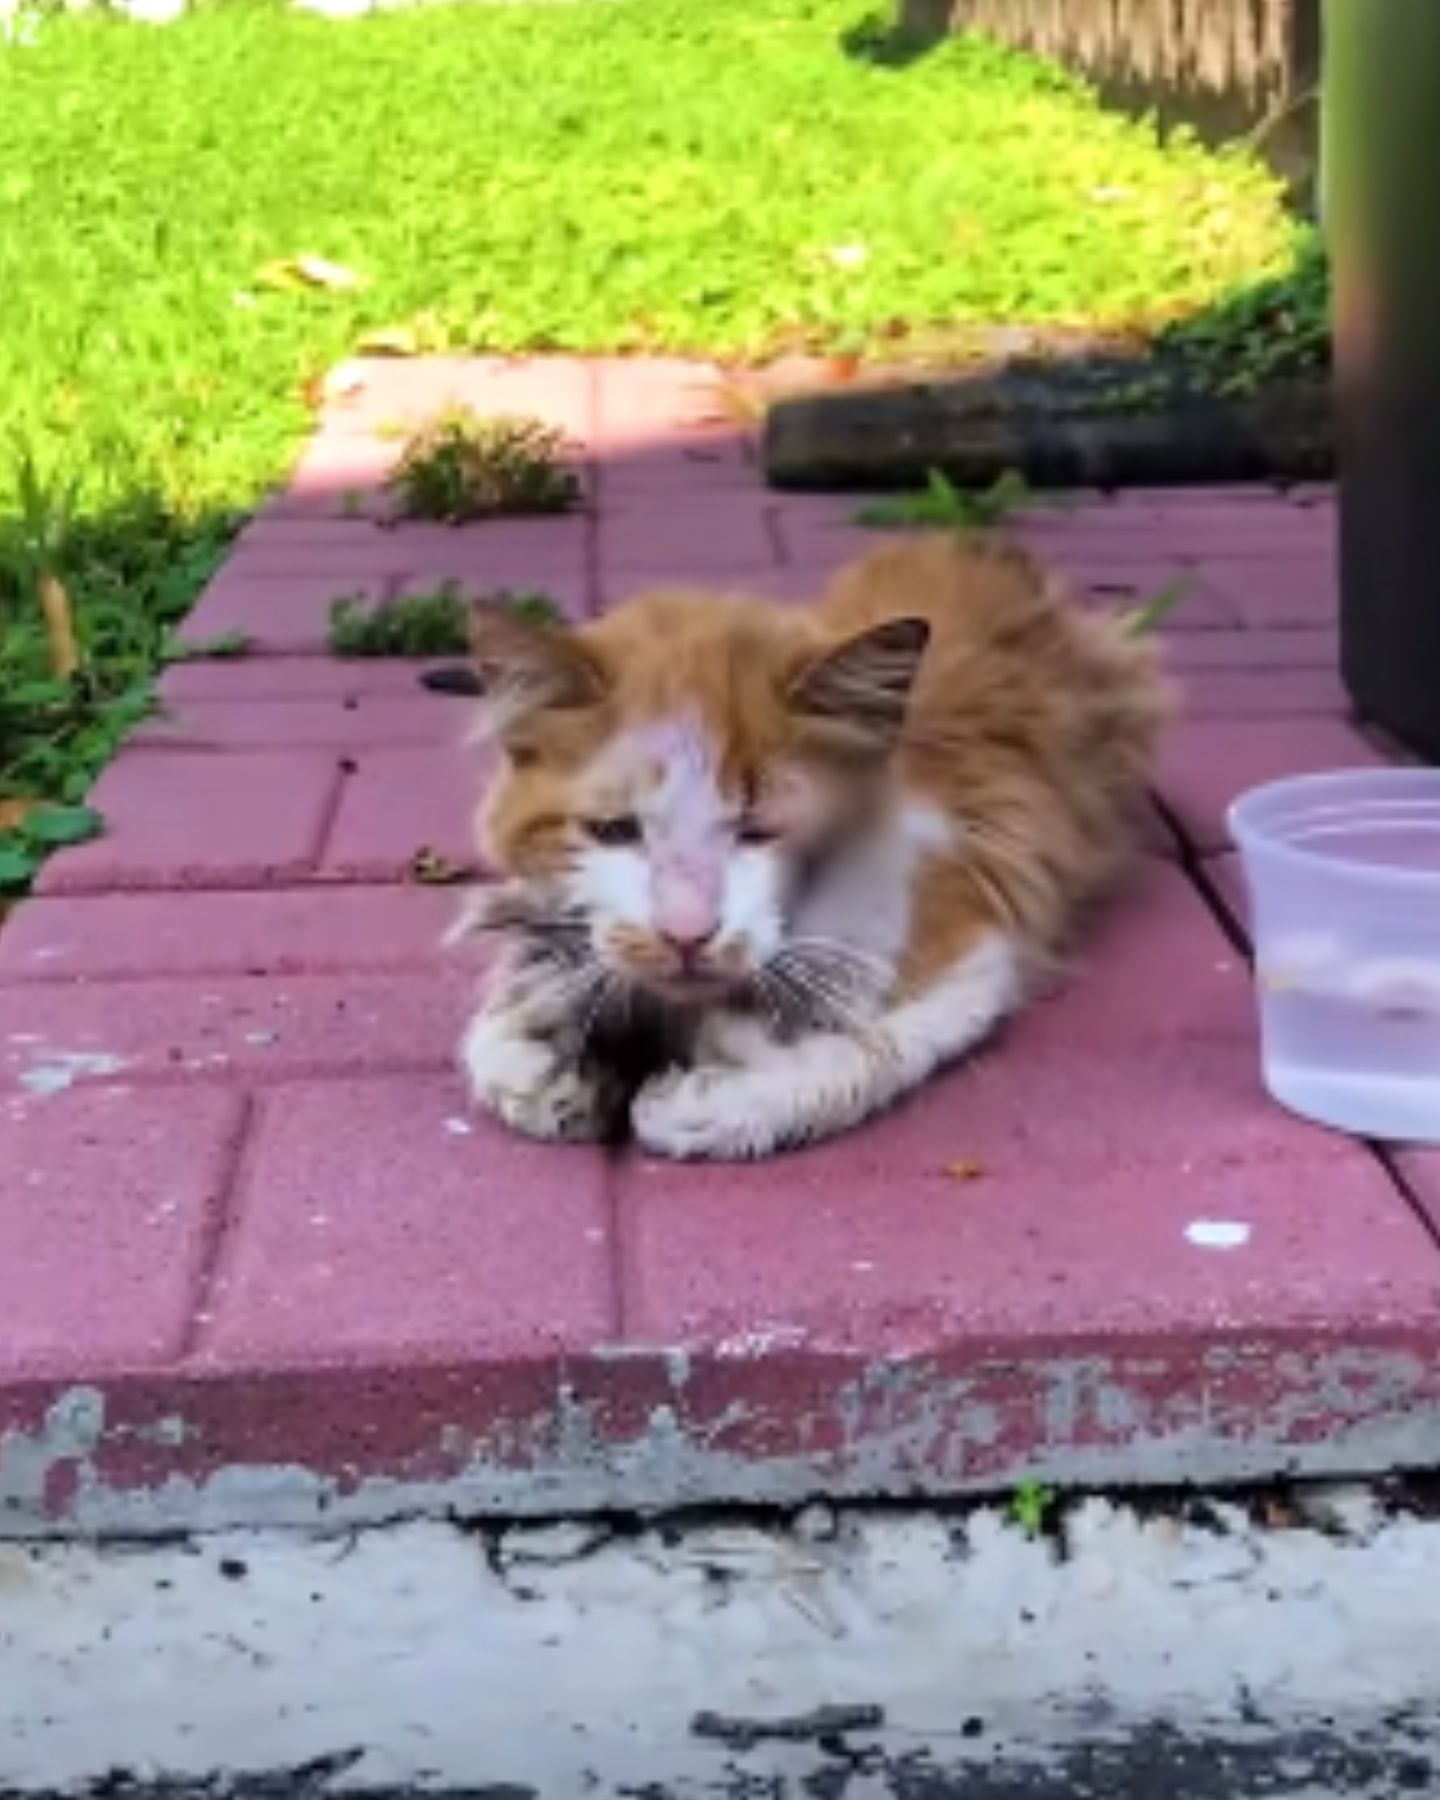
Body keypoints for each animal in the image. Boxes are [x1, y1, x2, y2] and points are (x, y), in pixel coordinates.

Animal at [455, 532, 1173, 1159]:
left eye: (758, 830)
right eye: (614, 831)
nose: (686, 936)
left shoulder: (972, 940)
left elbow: (870, 1048)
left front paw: (711, 1097)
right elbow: (499, 1031)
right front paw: (543, 1055)